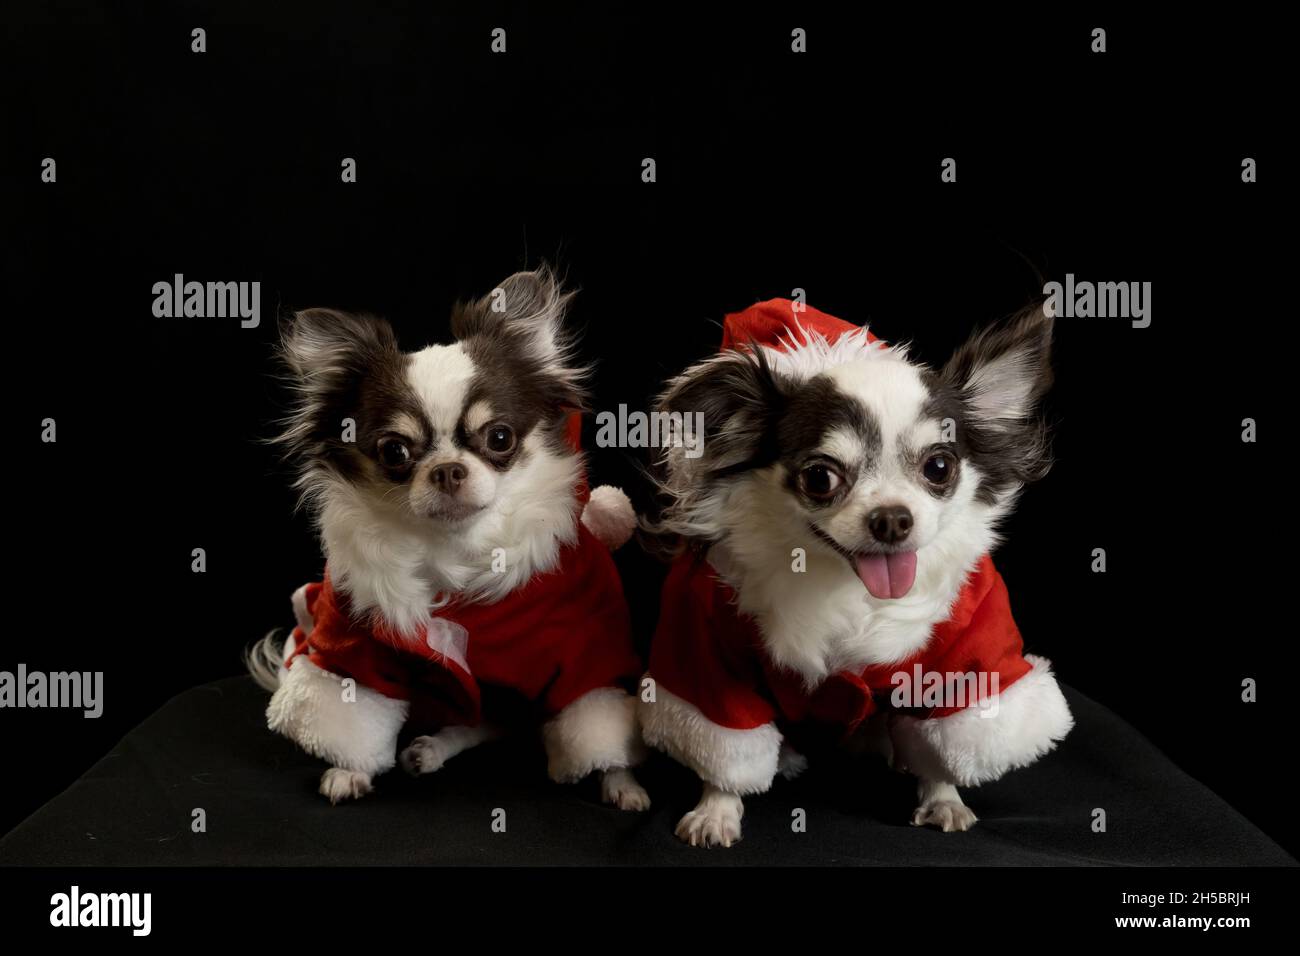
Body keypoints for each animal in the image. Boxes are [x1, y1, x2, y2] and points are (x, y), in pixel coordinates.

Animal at [246, 265, 650, 811]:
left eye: (499, 438)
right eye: (394, 451)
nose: (448, 469)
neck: (457, 552)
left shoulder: (581, 649)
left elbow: (592, 710)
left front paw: (620, 780)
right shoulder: (354, 644)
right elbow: (353, 705)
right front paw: (350, 770)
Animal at [642, 299, 1076, 842]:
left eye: (939, 468)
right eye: (819, 478)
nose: (891, 518)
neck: (848, 585)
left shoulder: (965, 648)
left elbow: (952, 733)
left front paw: (943, 797)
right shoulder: (708, 648)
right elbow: (724, 738)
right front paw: (717, 807)